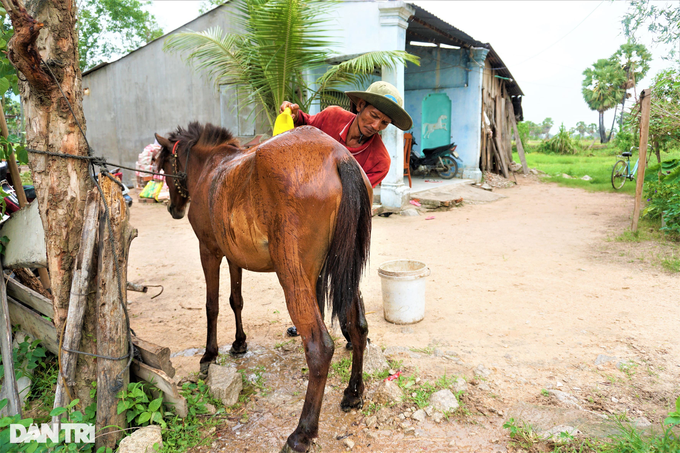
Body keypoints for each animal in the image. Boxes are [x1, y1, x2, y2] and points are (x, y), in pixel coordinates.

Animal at [155, 122, 372, 450]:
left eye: (166, 166)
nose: (173, 209)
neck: (211, 167)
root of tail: (339, 156)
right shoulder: (233, 255)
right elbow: (236, 300)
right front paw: (239, 342)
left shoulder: (209, 250)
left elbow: (212, 305)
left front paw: (209, 355)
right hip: (345, 272)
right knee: (358, 327)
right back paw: (353, 392)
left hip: (294, 276)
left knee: (320, 348)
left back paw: (302, 433)